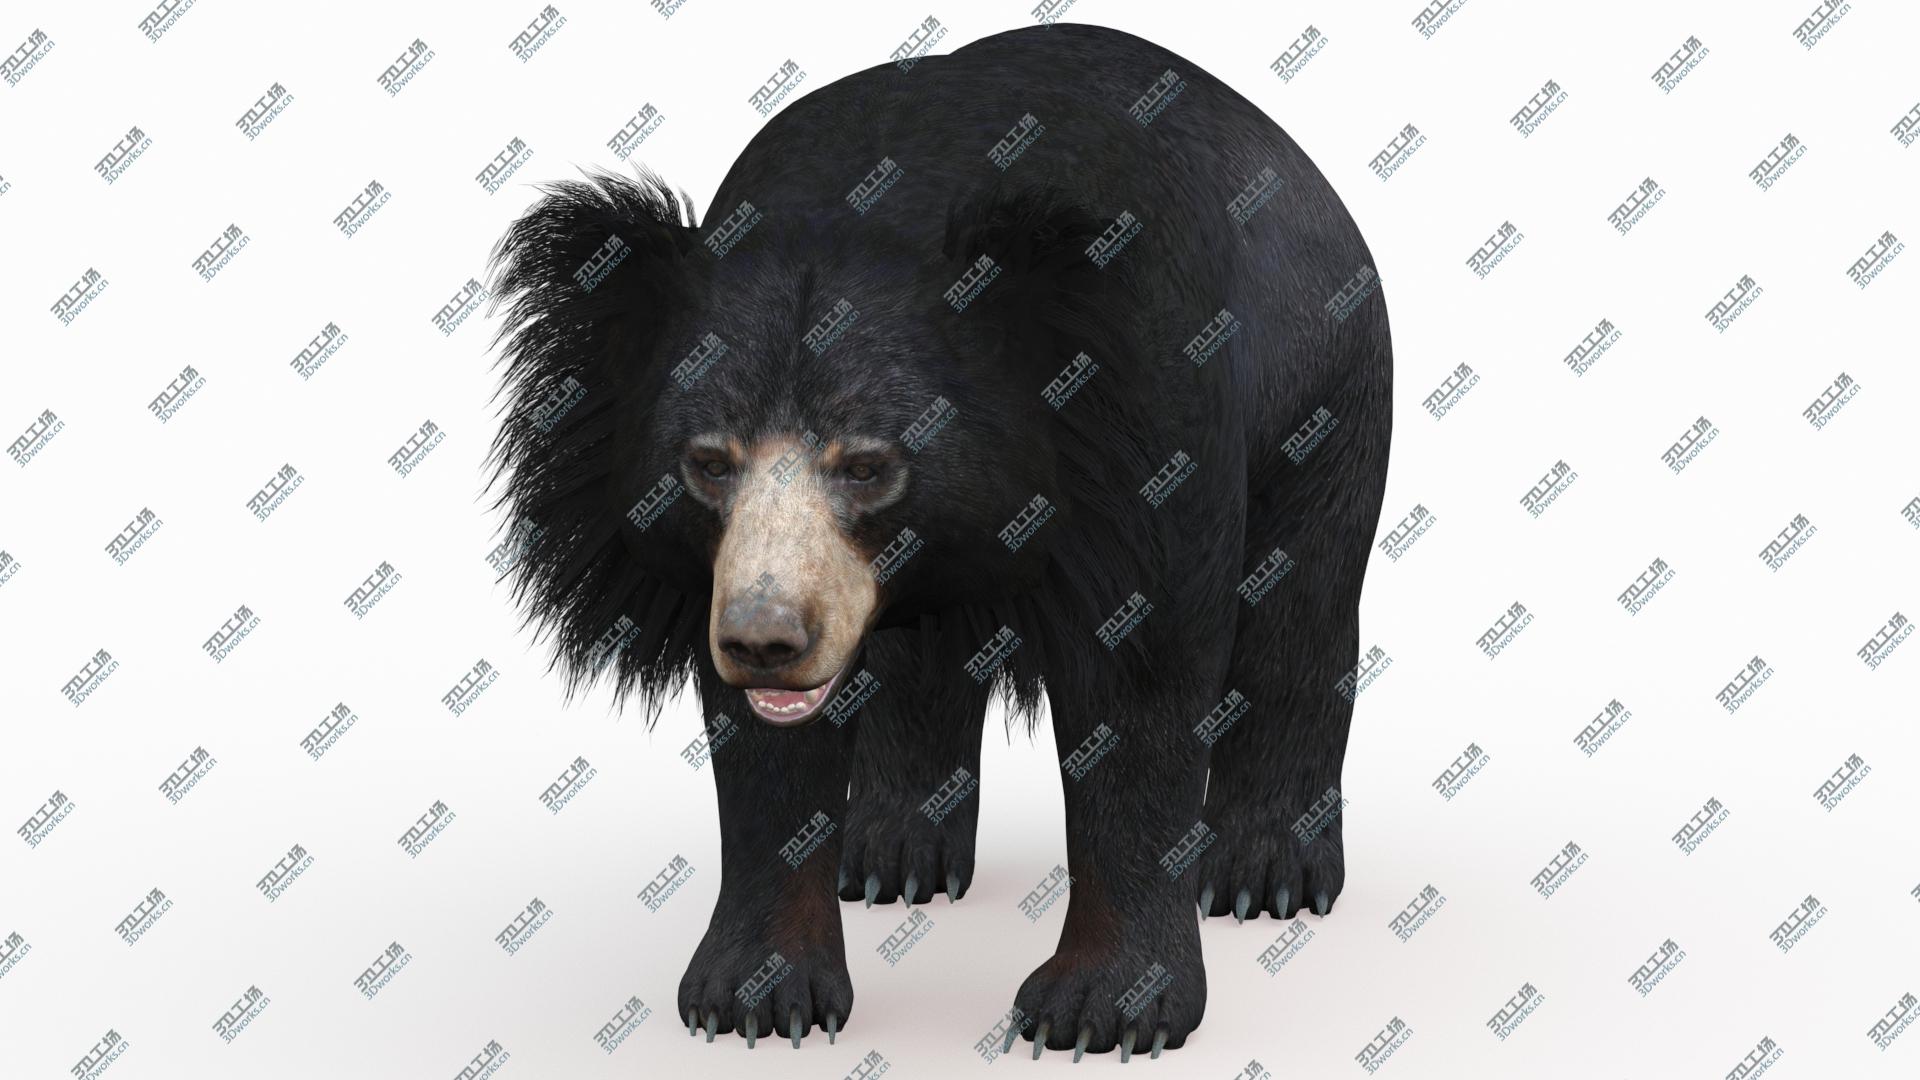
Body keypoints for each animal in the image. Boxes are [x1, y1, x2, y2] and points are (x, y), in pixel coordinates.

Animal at [484, 21, 1392, 1060]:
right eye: (708, 463)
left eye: (868, 466)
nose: (766, 640)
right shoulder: (719, 571)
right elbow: (763, 755)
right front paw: (753, 996)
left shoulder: (1150, 418)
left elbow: (1143, 683)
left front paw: (1101, 1009)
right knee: (919, 670)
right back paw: (890, 855)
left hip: (1324, 386)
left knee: (1300, 606)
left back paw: (1263, 873)